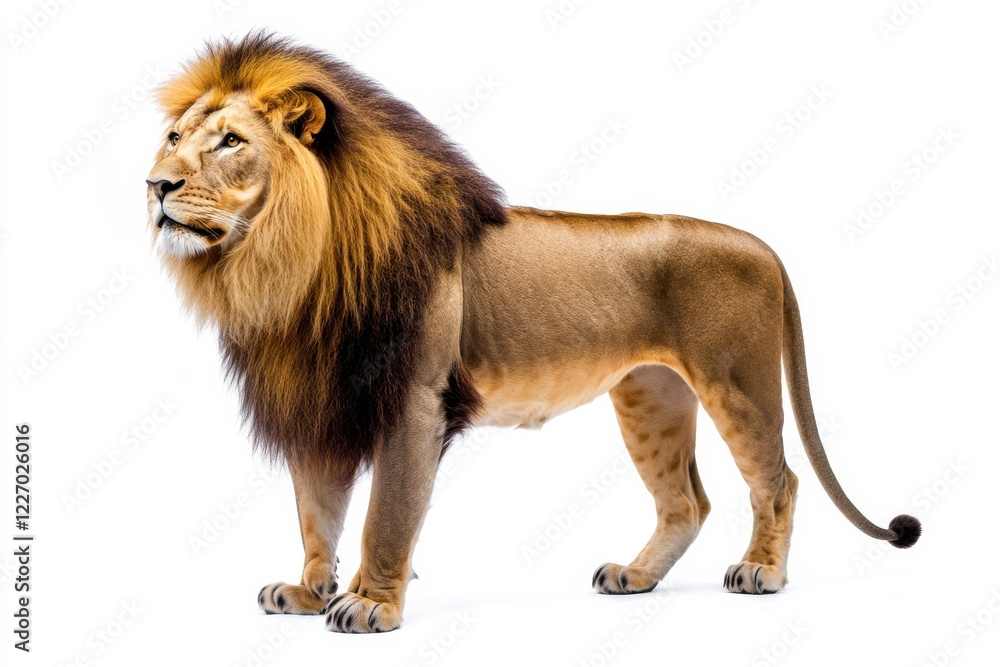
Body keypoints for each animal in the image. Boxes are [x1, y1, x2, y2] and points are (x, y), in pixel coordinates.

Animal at [147, 32, 920, 633]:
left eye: (231, 142)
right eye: (175, 138)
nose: (155, 185)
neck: (282, 269)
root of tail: (763, 245)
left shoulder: (415, 400)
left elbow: (384, 514)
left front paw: (370, 604)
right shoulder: (317, 399)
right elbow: (318, 511)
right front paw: (309, 592)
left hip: (739, 384)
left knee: (779, 479)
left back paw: (761, 570)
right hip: (651, 398)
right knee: (686, 500)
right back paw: (635, 575)